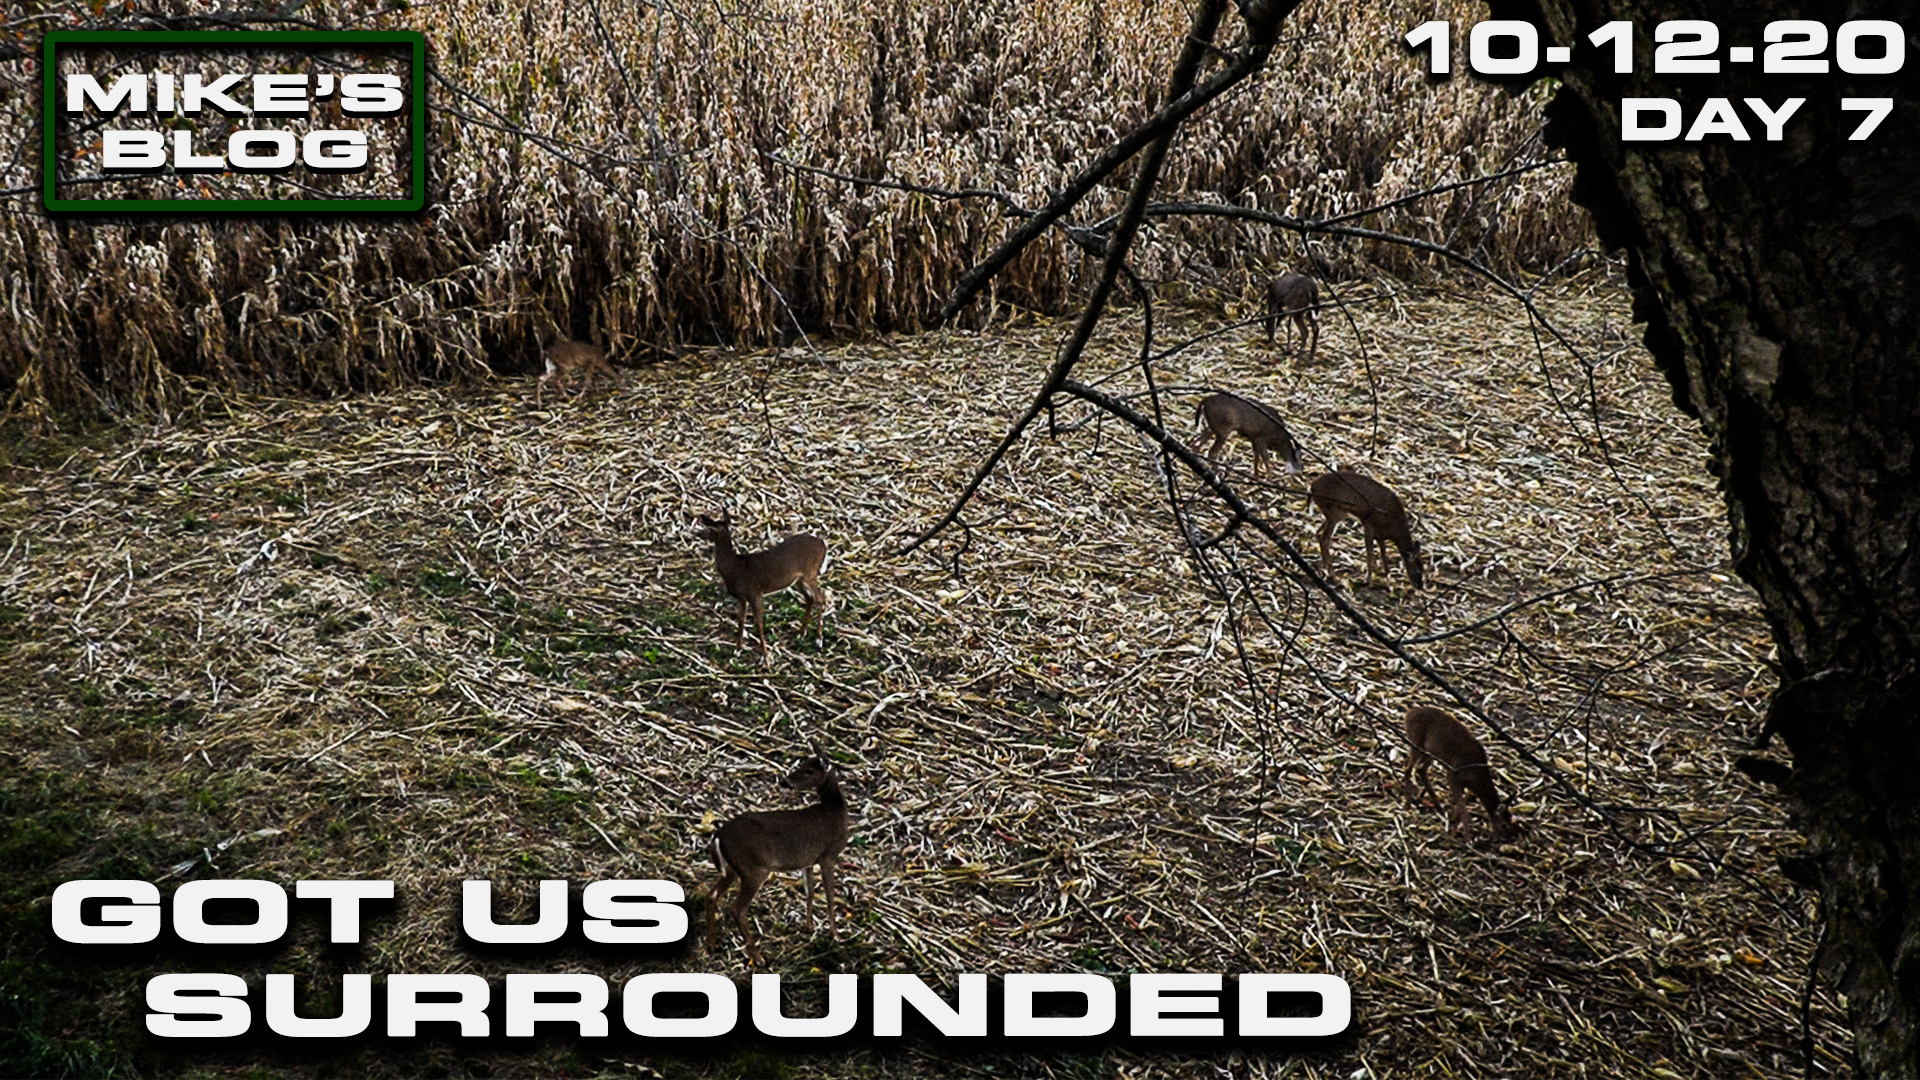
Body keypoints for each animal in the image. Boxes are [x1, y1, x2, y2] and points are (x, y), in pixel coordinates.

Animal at [695, 508, 828, 657]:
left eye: (711, 528)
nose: (698, 533)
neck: (734, 567)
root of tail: (823, 544)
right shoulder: (741, 597)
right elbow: (741, 621)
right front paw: (738, 649)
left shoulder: (755, 592)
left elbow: (758, 622)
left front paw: (764, 651)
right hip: (799, 579)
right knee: (810, 598)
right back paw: (801, 633)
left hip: (811, 573)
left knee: (820, 598)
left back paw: (819, 639)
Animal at [706, 752, 851, 967]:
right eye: (801, 765)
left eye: (809, 770)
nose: (785, 781)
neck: (835, 810)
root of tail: (718, 835)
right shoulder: (828, 855)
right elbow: (830, 896)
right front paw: (836, 935)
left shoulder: (809, 860)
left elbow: (810, 892)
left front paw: (809, 926)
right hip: (753, 869)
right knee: (737, 909)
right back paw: (758, 957)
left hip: (731, 870)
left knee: (712, 895)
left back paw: (712, 944)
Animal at [1402, 705, 1516, 844]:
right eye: (1504, 825)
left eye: (1510, 821)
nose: (1506, 838)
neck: (1477, 776)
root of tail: (1409, 713)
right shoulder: (1453, 775)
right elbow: (1462, 806)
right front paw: (1468, 839)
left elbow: (1461, 803)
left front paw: (1456, 822)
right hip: (1416, 743)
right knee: (1408, 767)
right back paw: (1408, 800)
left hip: (1429, 752)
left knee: (1420, 769)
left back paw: (1437, 804)